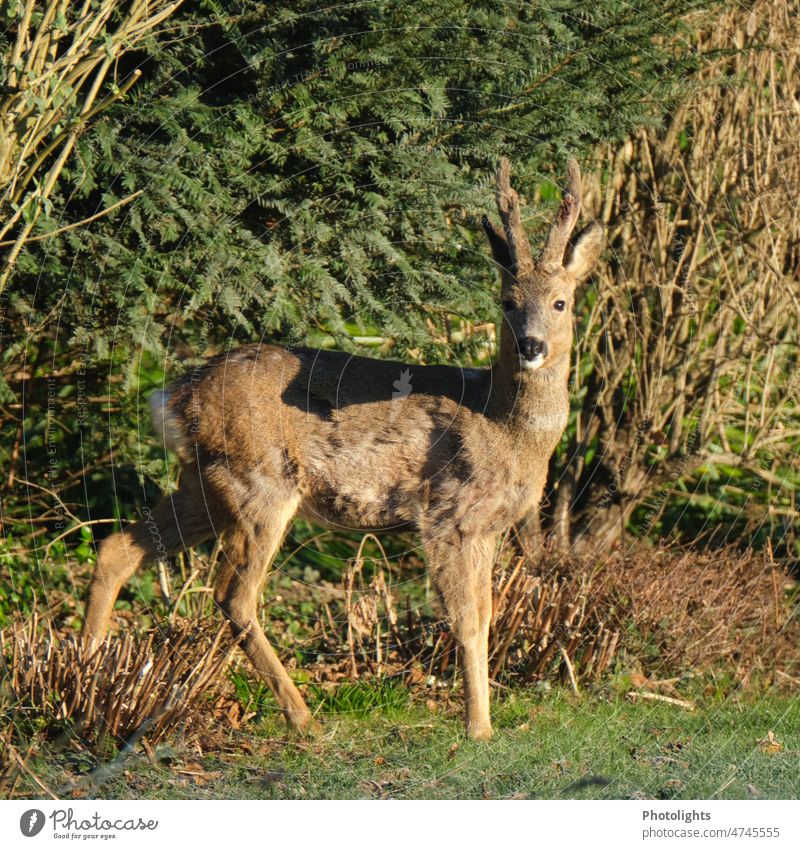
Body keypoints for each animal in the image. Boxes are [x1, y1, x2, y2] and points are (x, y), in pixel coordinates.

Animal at [84, 156, 604, 740]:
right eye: (507, 303)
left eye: (561, 301)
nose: (531, 345)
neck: (505, 428)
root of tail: (175, 396)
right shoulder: (446, 514)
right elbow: (467, 620)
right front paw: (478, 728)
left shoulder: (487, 528)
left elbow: (488, 618)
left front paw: (482, 721)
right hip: (259, 482)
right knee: (234, 596)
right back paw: (303, 717)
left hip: (205, 483)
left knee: (118, 548)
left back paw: (85, 672)